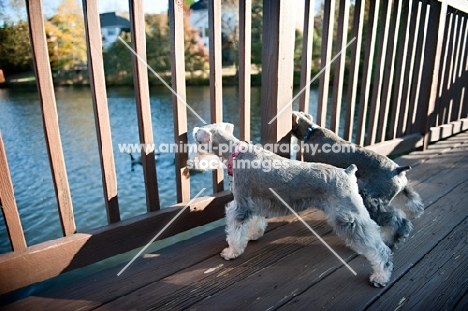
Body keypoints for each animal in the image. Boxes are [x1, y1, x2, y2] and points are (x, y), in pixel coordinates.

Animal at [192, 123, 394, 288]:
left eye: (197, 143)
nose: (192, 163)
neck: (236, 153)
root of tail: (348, 172)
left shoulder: (240, 206)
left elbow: (235, 233)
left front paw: (231, 252)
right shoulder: (255, 203)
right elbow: (256, 222)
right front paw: (254, 235)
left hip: (348, 217)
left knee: (379, 249)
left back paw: (380, 276)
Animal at [290, 112, 426, 249]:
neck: (310, 131)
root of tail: (398, 170)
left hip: (373, 201)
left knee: (396, 220)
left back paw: (392, 241)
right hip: (401, 190)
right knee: (413, 201)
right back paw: (415, 214)